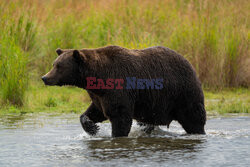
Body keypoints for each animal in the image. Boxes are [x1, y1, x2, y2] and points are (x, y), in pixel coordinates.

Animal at [42, 45, 206, 137]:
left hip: (182, 92)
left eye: (59, 66)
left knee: (193, 117)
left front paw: (116, 135)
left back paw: (198, 132)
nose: (45, 77)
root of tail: (190, 64)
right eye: (54, 64)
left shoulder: (118, 87)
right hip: (154, 104)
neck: (96, 77)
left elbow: (120, 116)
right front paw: (93, 128)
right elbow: (95, 112)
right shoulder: (99, 95)